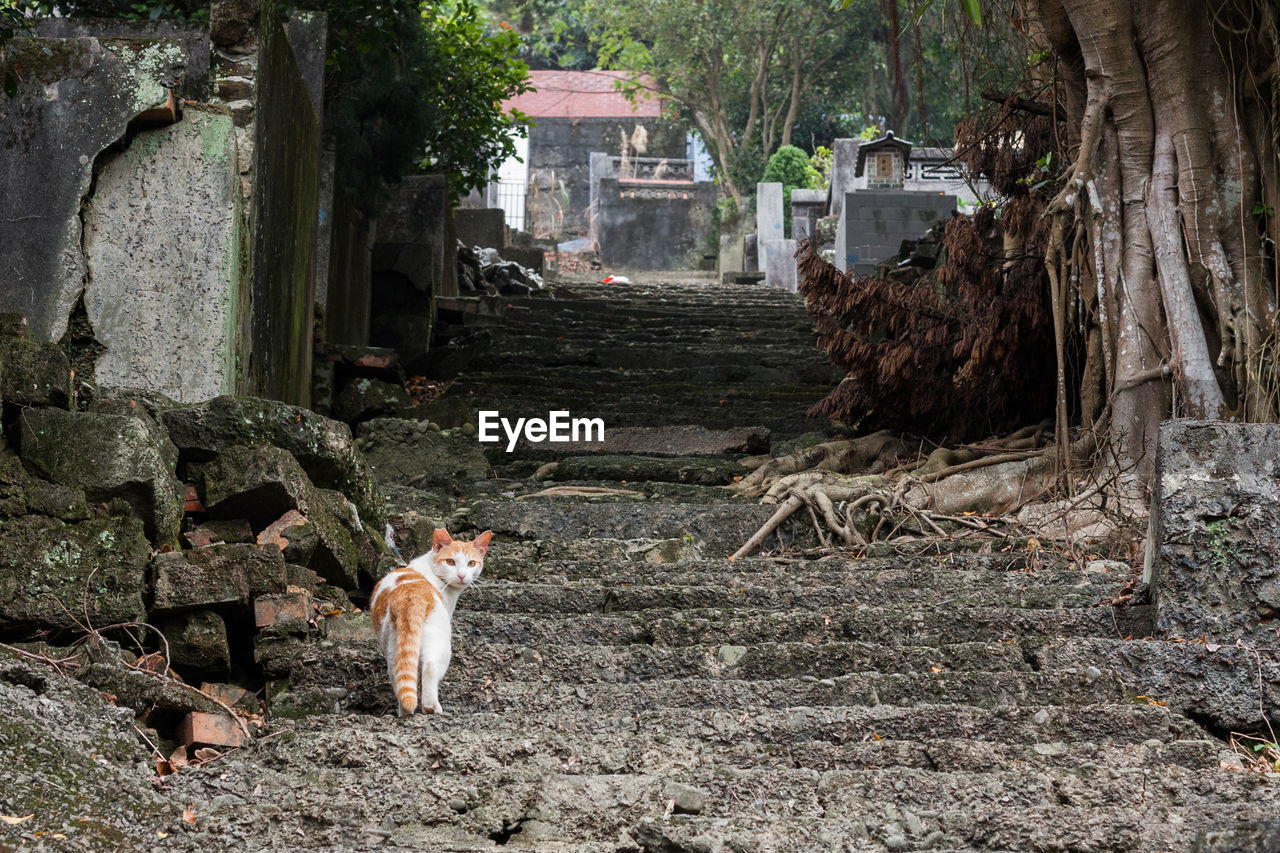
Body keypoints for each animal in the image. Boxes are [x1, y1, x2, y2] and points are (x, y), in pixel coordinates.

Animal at [373, 527, 491, 712]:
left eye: (471, 563)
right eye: (450, 562)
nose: (462, 575)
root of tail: (411, 595)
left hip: (393, 646)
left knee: (399, 676)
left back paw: (404, 711)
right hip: (440, 642)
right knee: (430, 666)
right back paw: (432, 707)